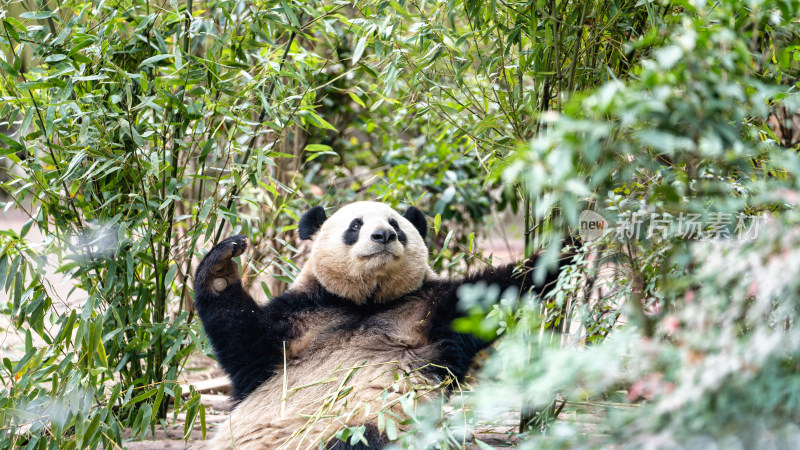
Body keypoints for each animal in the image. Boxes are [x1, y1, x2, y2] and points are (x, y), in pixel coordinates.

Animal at [193, 202, 568, 448]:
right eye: (355, 225)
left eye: (396, 224)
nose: (383, 235)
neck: (366, 303)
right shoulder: (302, 317)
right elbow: (243, 341)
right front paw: (221, 268)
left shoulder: (428, 313)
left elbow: (501, 289)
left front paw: (567, 247)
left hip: (362, 425)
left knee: (352, 439)